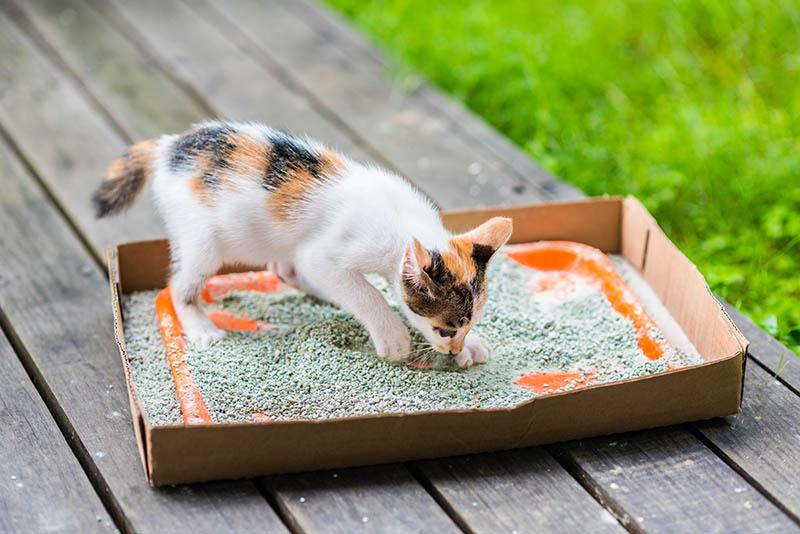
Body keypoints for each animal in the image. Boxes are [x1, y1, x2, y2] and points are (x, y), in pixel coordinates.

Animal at [94, 122, 512, 368]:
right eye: (444, 330)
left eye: (467, 326)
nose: (454, 349)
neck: (404, 222)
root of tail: (167, 149)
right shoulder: (326, 254)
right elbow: (368, 294)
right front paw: (394, 338)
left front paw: (473, 347)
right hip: (202, 239)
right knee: (178, 285)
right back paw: (200, 326)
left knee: (283, 268)